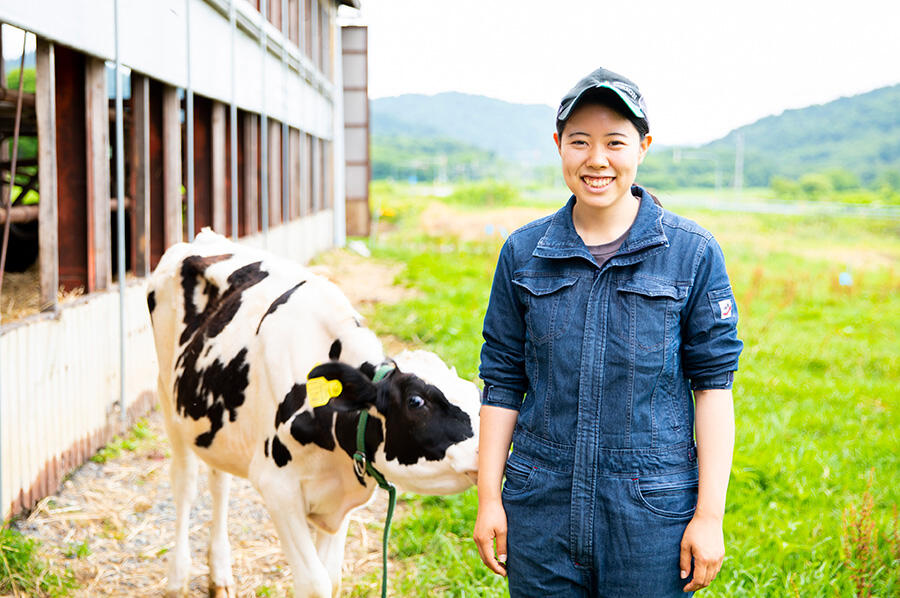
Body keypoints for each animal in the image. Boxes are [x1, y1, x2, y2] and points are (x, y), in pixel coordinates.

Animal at [148, 232, 482, 598]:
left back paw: (220, 575)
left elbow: (332, 577)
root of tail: (203, 237)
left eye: (476, 393)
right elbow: (315, 582)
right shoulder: (277, 488)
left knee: (219, 482)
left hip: (212, 421)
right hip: (168, 397)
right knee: (184, 484)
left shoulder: (341, 494)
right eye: (416, 401)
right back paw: (178, 578)